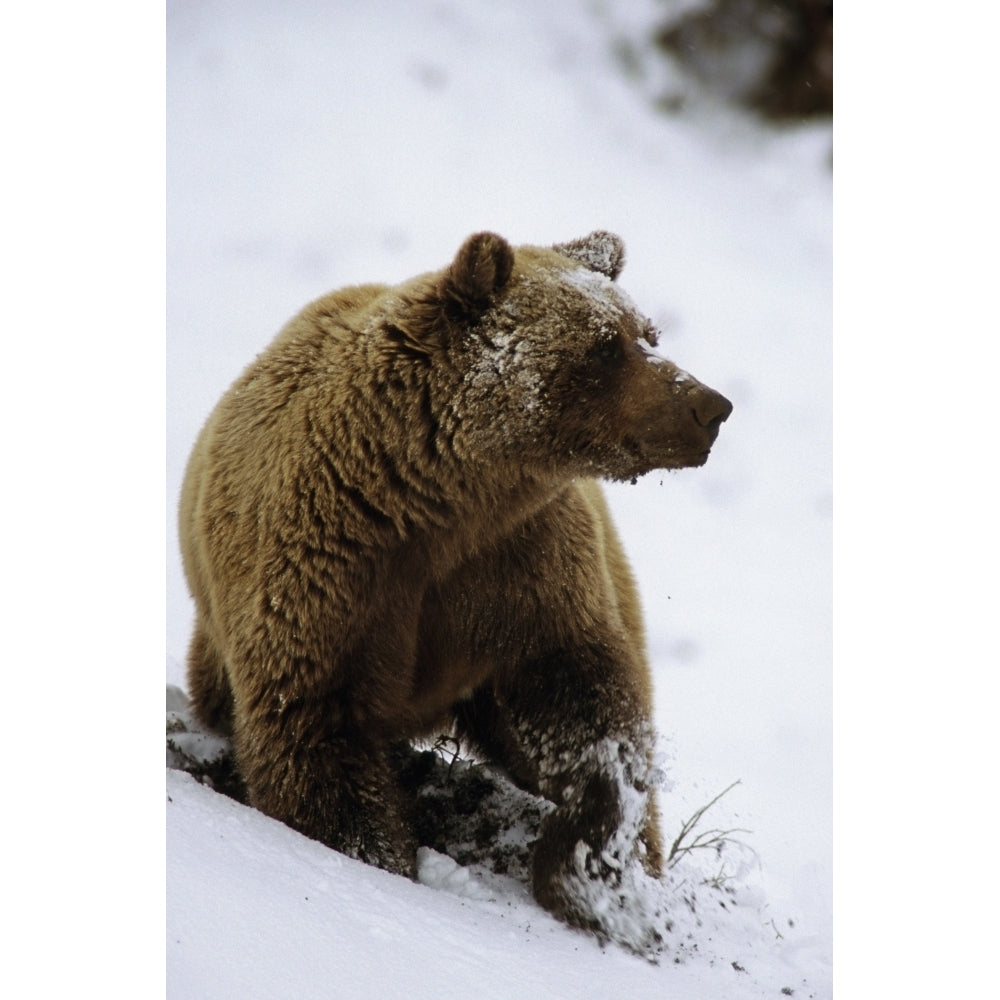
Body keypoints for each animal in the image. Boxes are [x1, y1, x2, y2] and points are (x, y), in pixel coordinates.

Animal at [178, 230, 728, 948]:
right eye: (606, 345)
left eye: (648, 333)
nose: (710, 406)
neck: (439, 501)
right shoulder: (330, 568)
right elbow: (318, 733)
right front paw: (374, 856)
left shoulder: (519, 571)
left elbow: (585, 716)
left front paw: (596, 878)